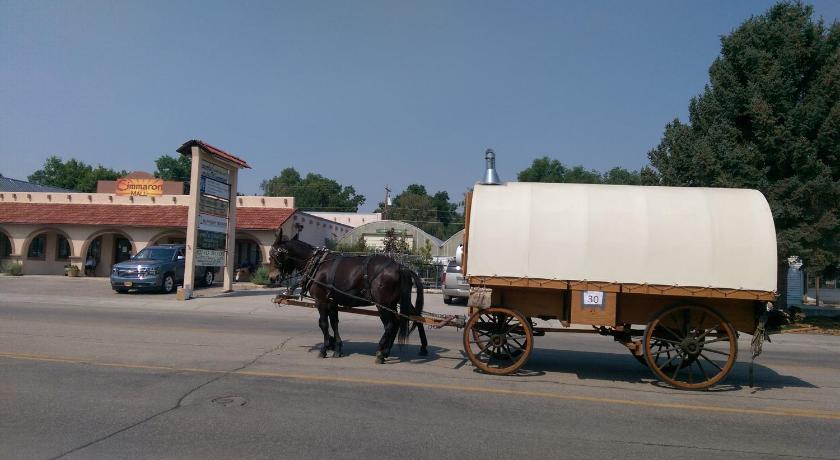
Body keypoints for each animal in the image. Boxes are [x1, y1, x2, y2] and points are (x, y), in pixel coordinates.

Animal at [270, 230, 426, 362]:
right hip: (396, 301)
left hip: (383, 303)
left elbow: (324, 323)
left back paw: (381, 352)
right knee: (408, 319)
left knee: (391, 324)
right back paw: (394, 350)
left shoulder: (321, 300)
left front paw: (324, 348)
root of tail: (401, 267)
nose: (272, 278)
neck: (316, 264)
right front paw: (337, 348)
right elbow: (334, 323)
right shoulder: (332, 301)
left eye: (273, 255)